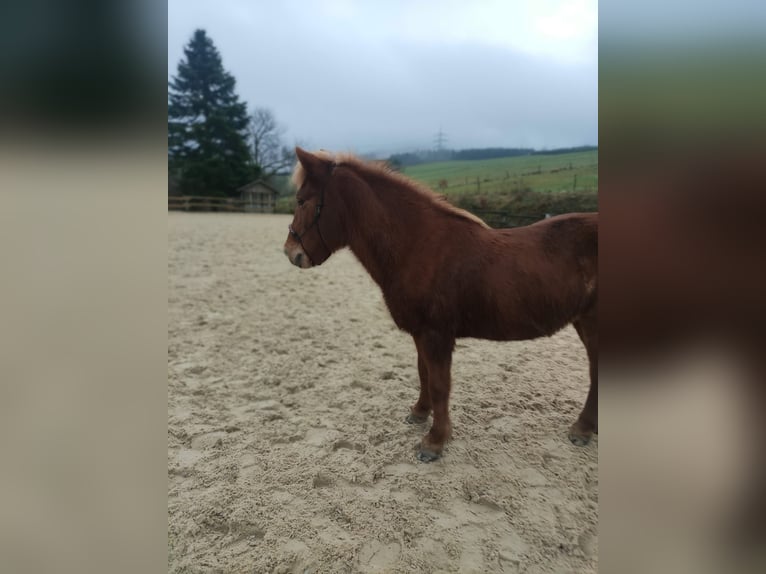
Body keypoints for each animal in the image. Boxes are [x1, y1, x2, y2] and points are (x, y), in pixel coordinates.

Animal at [284, 147, 598, 462]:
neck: (419, 246)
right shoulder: (421, 333)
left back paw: (582, 428)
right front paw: (420, 413)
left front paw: (434, 441)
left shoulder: (437, 335)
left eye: (302, 201)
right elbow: (423, 373)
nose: (290, 252)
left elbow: (439, 385)